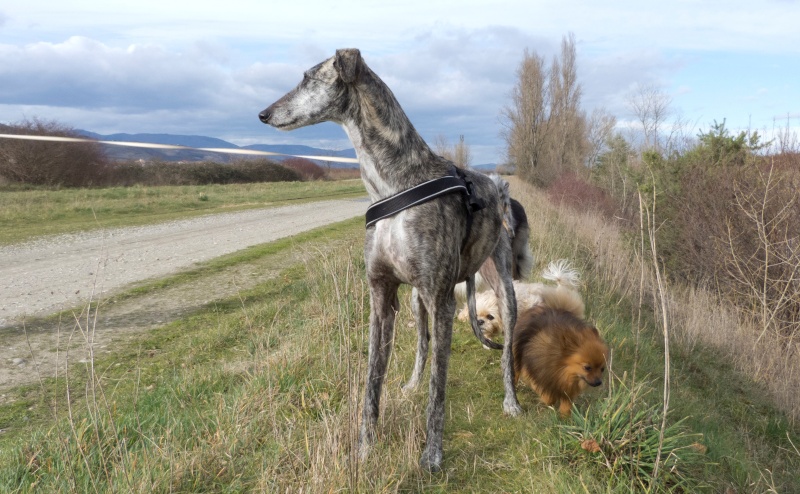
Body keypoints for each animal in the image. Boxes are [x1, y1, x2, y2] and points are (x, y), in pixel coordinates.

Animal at [516, 286, 608, 416]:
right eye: (587, 367)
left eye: (602, 369)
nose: (598, 382)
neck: (561, 368)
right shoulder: (538, 371)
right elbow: (546, 394)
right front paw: (547, 399)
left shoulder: (569, 386)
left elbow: (566, 403)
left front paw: (564, 416)